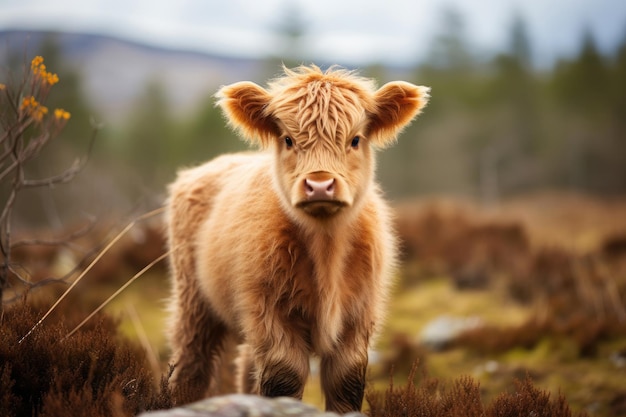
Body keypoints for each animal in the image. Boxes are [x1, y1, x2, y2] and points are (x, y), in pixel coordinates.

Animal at [165, 65, 428, 410]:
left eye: (355, 140)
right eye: (288, 140)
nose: (319, 185)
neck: (326, 246)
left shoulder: (359, 315)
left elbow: (346, 383)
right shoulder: (270, 310)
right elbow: (283, 378)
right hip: (193, 301)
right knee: (191, 364)